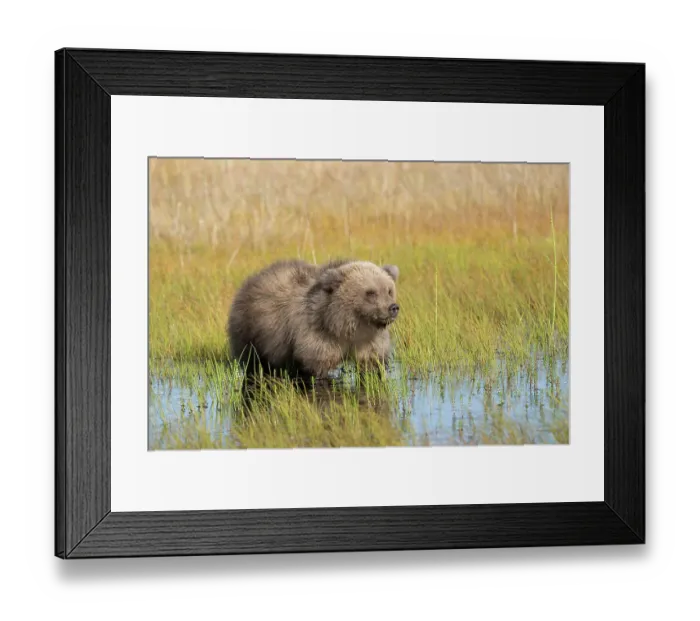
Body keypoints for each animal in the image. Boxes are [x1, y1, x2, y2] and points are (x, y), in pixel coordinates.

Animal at [226, 258, 400, 380]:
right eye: (370, 293)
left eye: (389, 290)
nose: (393, 307)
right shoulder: (318, 335)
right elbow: (316, 366)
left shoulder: (368, 339)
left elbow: (372, 363)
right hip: (251, 332)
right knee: (252, 362)